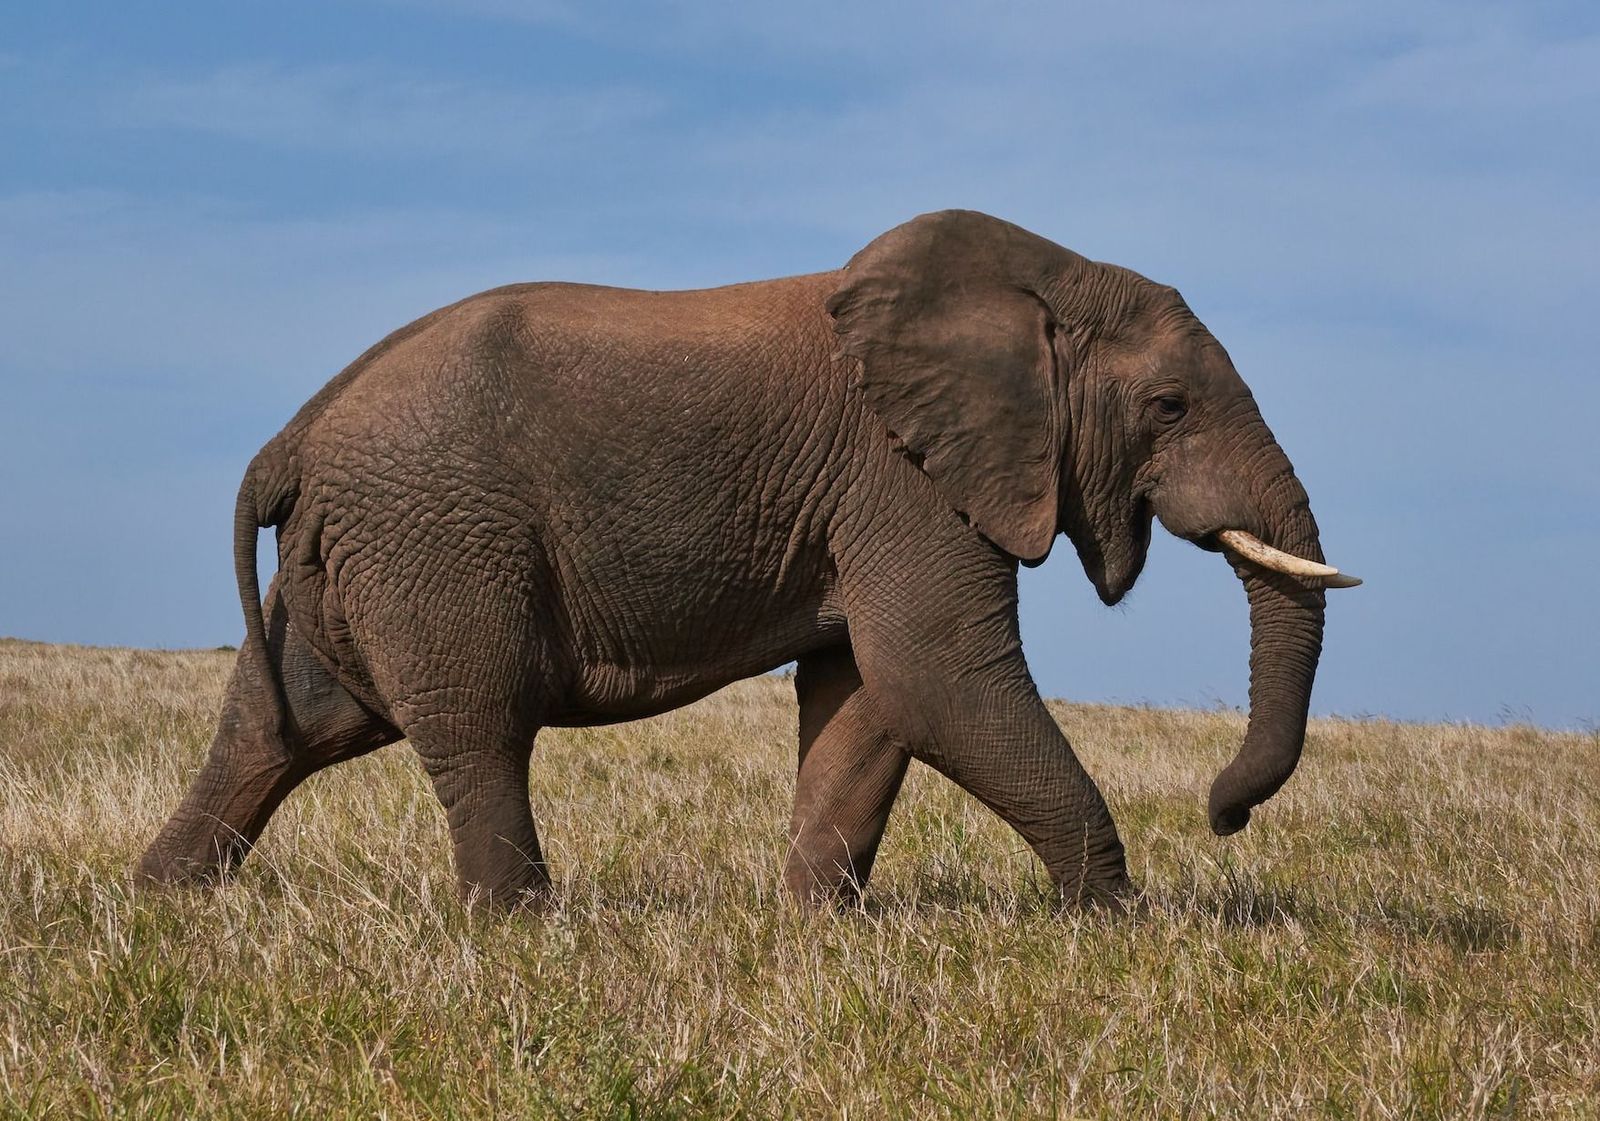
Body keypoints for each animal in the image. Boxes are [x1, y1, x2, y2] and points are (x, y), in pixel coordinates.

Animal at [138, 209, 1359, 911]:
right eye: (1169, 406)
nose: (1223, 815)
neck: (1038, 281)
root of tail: (293, 436)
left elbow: (868, 697)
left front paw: (813, 928)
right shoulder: (901, 477)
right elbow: (938, 679)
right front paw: (1106, 920)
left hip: (356, 556)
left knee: (282, 725)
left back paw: (164, 904)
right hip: (434, 536)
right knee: (476, 724)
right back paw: (520, 928)